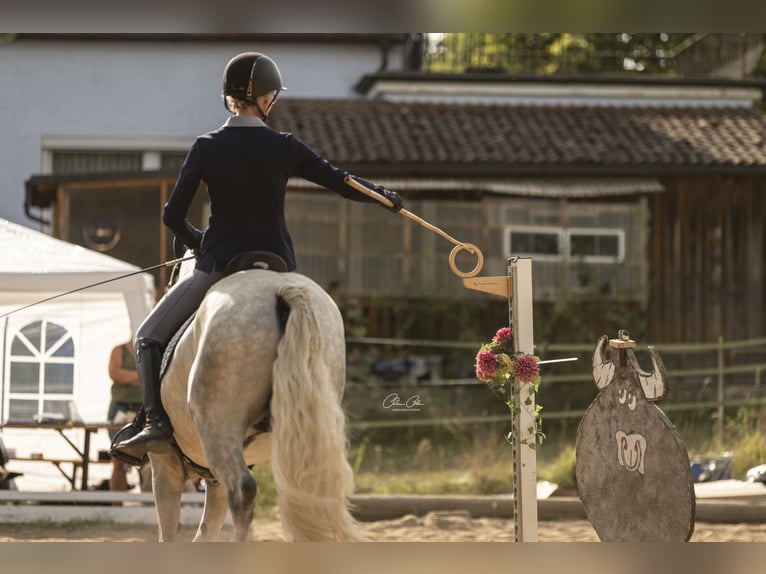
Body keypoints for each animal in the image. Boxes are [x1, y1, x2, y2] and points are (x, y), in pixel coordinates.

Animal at [151, 262, 368, 544]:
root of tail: (284, 289)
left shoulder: (165, 464)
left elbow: (169, 529)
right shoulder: (212, 477)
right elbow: (206, 529)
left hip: (219, 425)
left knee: (243, 490)